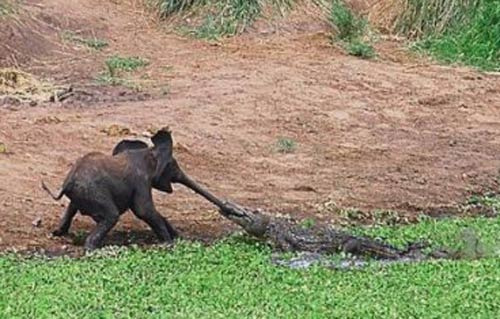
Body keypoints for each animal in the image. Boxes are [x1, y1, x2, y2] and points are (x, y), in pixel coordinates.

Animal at [42, 129, 180, 251]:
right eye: (173, 165)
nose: (179, 237)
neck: (147, 152)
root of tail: (67, 182)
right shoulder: (141, 180)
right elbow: (144, 211)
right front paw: (169, 243)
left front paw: (175, 237)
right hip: (94, 193)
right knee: (112, 215)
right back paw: (92, 249)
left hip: (82, 194)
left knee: (73, 208)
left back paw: (58, 233)